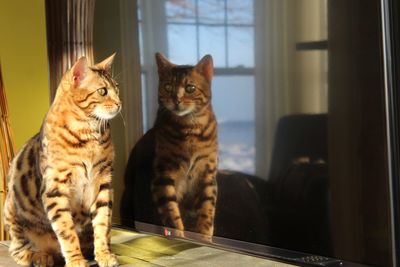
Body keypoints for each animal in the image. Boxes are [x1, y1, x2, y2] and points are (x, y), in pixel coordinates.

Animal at [3, 55, 120, 267]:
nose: (119, 103)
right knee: (18, 249)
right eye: (103, 91)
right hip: (11, 211)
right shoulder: (55, 187)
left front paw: (104, 254)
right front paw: (75, 260)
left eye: (117, 88)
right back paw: (39, 256)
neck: (88, 134)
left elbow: (102, 224)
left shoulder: (104, 183)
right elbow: (66, 230)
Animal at [151, 53, 219, 242]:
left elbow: (207, 208)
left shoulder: (208, 173)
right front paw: (179, 235)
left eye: (190, 88)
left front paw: (204, 237)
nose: (176, 100)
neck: (190, 129)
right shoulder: (163, 174)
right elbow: (170, 211)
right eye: (167, 87)